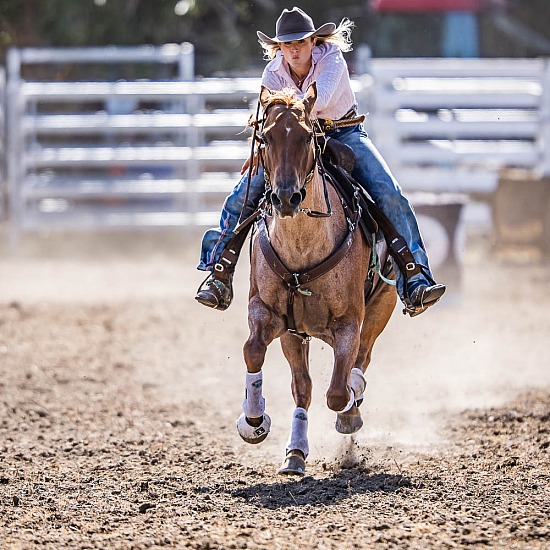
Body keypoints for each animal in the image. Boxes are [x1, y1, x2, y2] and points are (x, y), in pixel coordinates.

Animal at [235, 83, 398, 478]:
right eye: (265, 136)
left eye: (307, 136)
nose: (285, 197)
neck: (302, 248)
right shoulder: (269, 314)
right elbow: (253, 351)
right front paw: (253, 421)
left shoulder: (349, 323)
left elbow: (337, 393)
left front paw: (350, 405)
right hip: (296, 334)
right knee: (303, 387)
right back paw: (295, 452)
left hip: (381, 307)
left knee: (361, 360)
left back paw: (353, 406)